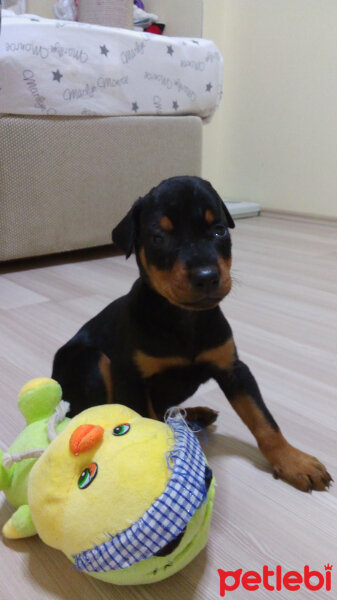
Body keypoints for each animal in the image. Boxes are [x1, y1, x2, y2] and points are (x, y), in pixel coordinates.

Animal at [52, 175, 330, 492]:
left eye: (220, 231)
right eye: (159, 237)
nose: (206, 277)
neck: (183, 319)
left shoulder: (233, 368)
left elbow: (263, 420)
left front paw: (294, 461)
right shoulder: (132, 380)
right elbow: (148, 420)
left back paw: (196, 414)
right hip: (92, 362)